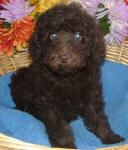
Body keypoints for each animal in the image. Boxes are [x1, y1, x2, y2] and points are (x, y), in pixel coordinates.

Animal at [9, 2, 124, 149]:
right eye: (52, 35)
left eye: (78, 35)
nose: (64, 57)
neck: (67, 77)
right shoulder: (49, 102)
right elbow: (59, 126)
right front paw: (64, 145)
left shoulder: (91, 93)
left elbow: (98, 117)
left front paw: (110, 137)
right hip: (18, 81)